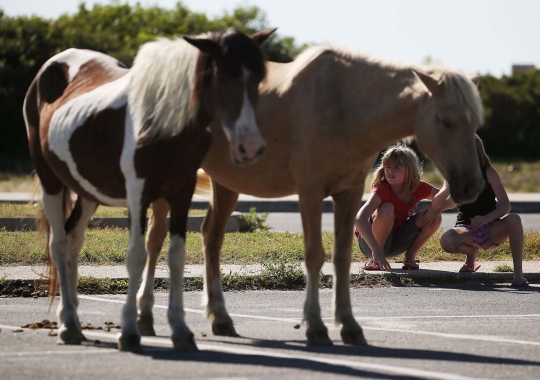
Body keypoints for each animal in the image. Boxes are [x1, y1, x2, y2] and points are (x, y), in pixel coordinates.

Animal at [22, 28, 274, 352]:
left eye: (257, 77)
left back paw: (75, 321)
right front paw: (129, 331)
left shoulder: (181, 193)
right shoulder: (138, 195)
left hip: (88, 190)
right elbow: (136, 257)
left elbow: (177, 257)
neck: (164, 121)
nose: (250, 147)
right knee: (59, 244)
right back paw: (67, 323)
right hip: (50, 181)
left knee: (74, 238)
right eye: (220, 75)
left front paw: (180, 330)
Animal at [142, 46, 486, 346]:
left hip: (226, 183)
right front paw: (317, 327)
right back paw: (146, 318)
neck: (344, 108)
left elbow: (341, 257)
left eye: (475, 121)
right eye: (445, 120)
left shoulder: (349, 193)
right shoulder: (310, 191)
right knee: (155, 238)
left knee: (211, 237)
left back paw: (221, 320)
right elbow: (314, 256)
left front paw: (349, 326)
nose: (471, 187)